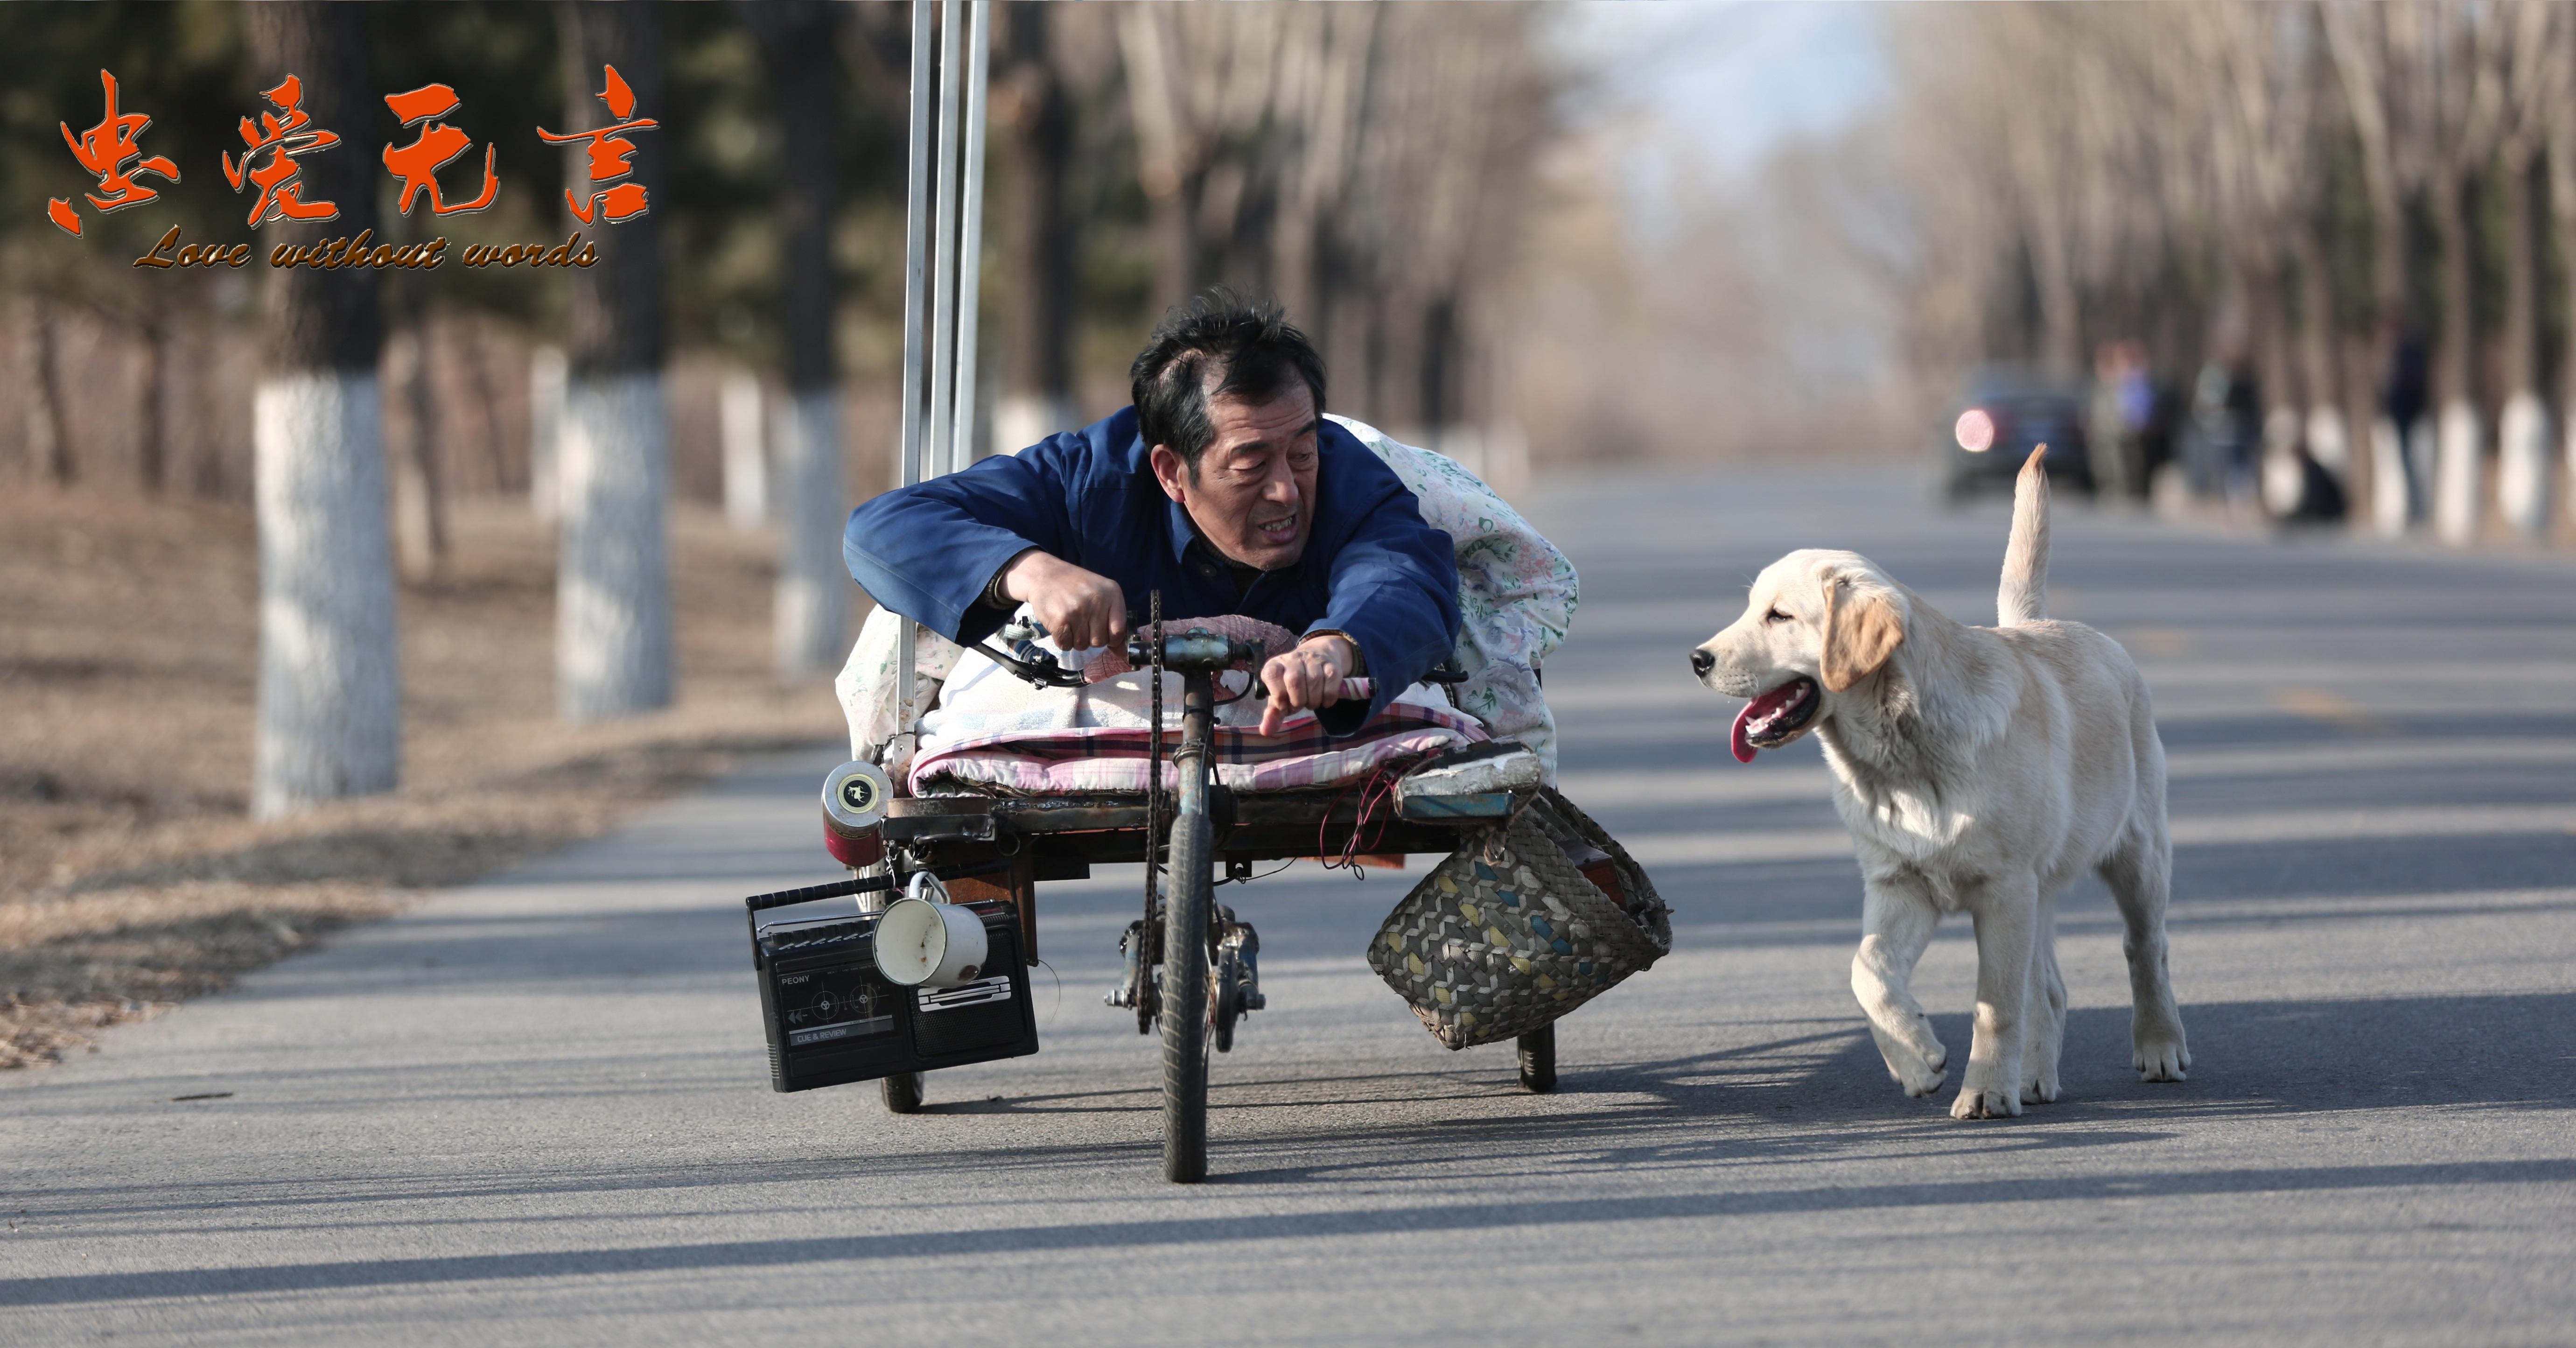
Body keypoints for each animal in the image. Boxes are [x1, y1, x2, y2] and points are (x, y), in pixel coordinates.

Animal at [1700, 453, 2184, 1118]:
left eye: (1780, 615)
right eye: (1753, 609)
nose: (1697, 659)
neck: (1901, 759)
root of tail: (2042, 621)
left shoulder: (2003, 889)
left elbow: (1994, 1004)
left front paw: (1983, 1091)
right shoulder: (1900, 883)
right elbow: (1866, 970)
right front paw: (1916, 1056)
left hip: (2137, 854)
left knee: (2146, 949)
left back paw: (2159, 1047)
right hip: (2040, 890)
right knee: (2050, 987)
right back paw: (2035, 1077)